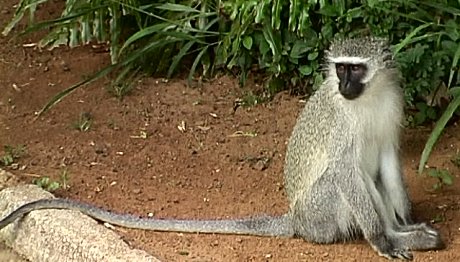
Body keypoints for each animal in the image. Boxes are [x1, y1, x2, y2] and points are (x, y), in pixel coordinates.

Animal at [0, 36, 446, 260]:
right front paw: (385, 240)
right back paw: (395, 238)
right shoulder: (339, 124)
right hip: (320, 213)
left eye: (356, 68)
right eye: (340, 68)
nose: (344, 84)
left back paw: (407, 233)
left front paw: (405, 222)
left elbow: (387, 159)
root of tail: (297, 221)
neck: (366, 98)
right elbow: (341, 170)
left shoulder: (392, 104)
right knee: (346, 181)